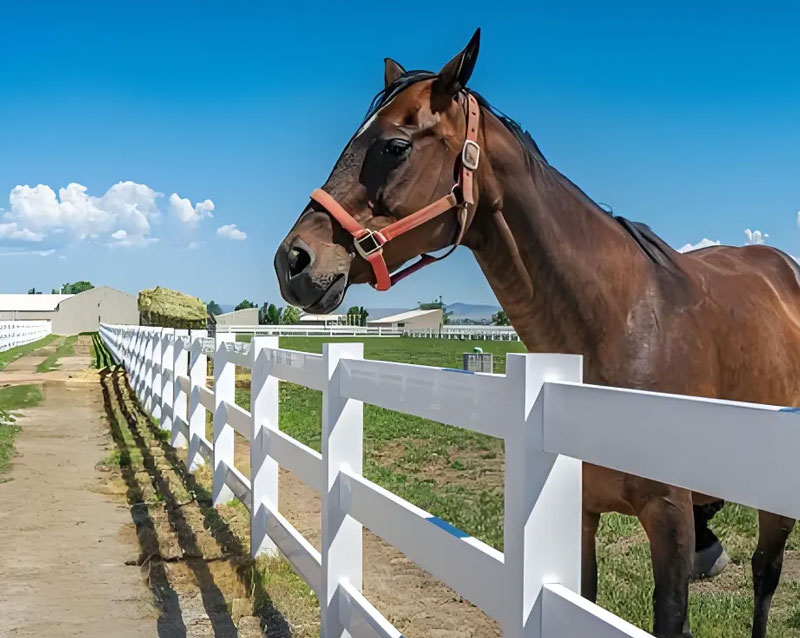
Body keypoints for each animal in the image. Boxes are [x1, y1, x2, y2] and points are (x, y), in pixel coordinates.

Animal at [276, 32, 800, 638]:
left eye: (395, 147)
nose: (292, 260)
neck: (618, 325)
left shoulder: (670, 520)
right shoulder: (579, 516)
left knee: (765, 573)